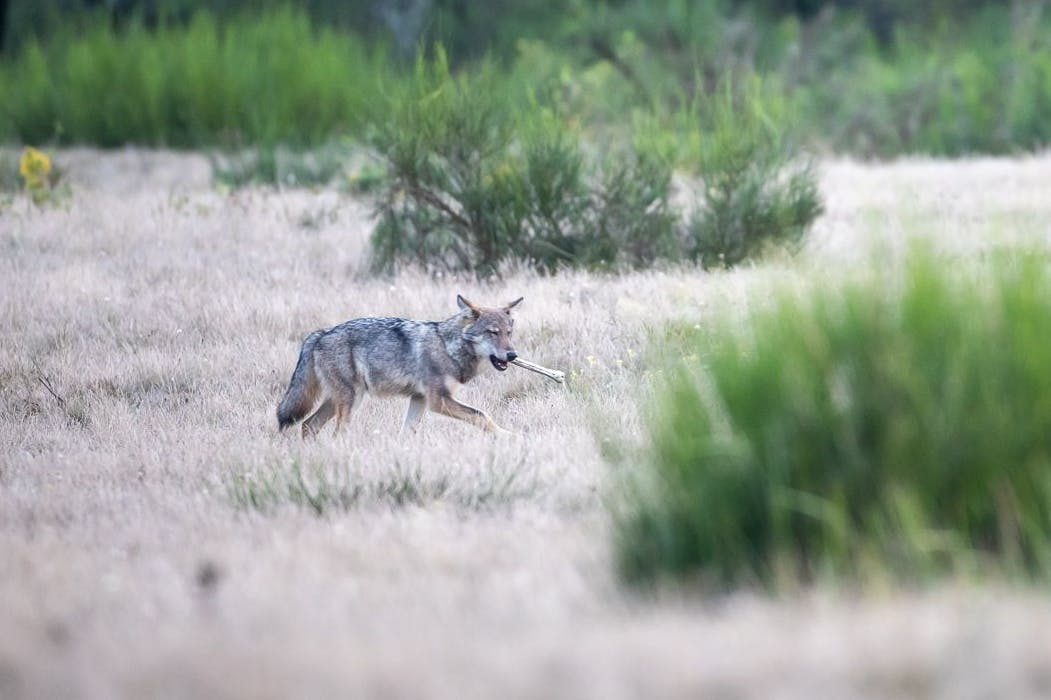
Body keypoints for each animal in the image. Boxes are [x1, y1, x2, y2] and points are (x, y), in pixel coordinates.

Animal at [276, 295, 522, 437]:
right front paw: (509, 436)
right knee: (335, 432)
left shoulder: (419, 399)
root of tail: (320, 334)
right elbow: (482, 415)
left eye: (509, 333)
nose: (512, 355)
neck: (448, 346)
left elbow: (406, 433)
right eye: (493, 332)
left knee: (308, 425)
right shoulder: (438, 401)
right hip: (352, 400)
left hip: (339, 400)